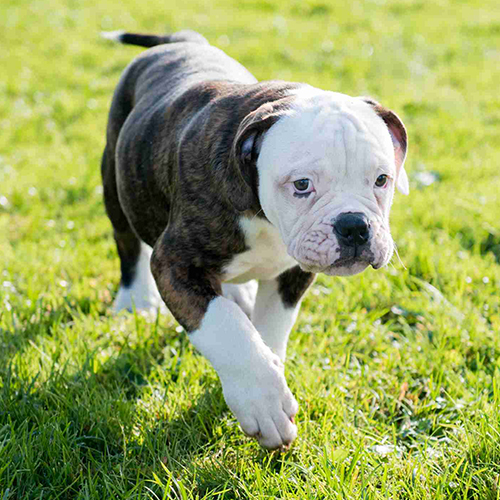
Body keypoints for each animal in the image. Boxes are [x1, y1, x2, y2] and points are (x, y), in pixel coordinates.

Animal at [101, 29, 410, 452]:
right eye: (302, 185)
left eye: (381, 180)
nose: (354, 226)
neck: (267, 220)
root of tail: (179, 39)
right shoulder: (176, 263)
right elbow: (226, 328)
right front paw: (262, 400)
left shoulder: (292, 274)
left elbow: (270, 328)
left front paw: (271, 374)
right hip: (115, 184)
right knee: (128, 244)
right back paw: (134, 301)